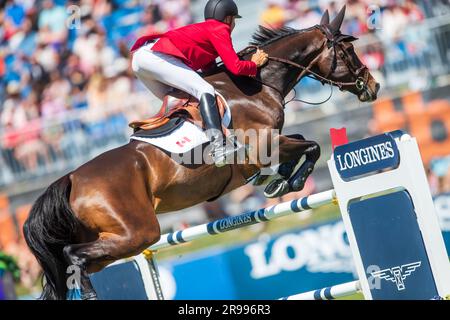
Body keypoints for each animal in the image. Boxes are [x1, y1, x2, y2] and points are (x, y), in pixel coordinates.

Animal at [22, 6, 380, 298]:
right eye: (349, 49)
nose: (373, 86)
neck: (256, 85)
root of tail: (70, 179)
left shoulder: (273, 143)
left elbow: (303, 141)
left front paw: (278, 181)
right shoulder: (264, 145)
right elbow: (313, 146)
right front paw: (288, 182)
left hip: (116, 239)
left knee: (76, 262)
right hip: (138, 232)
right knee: (73, 255)